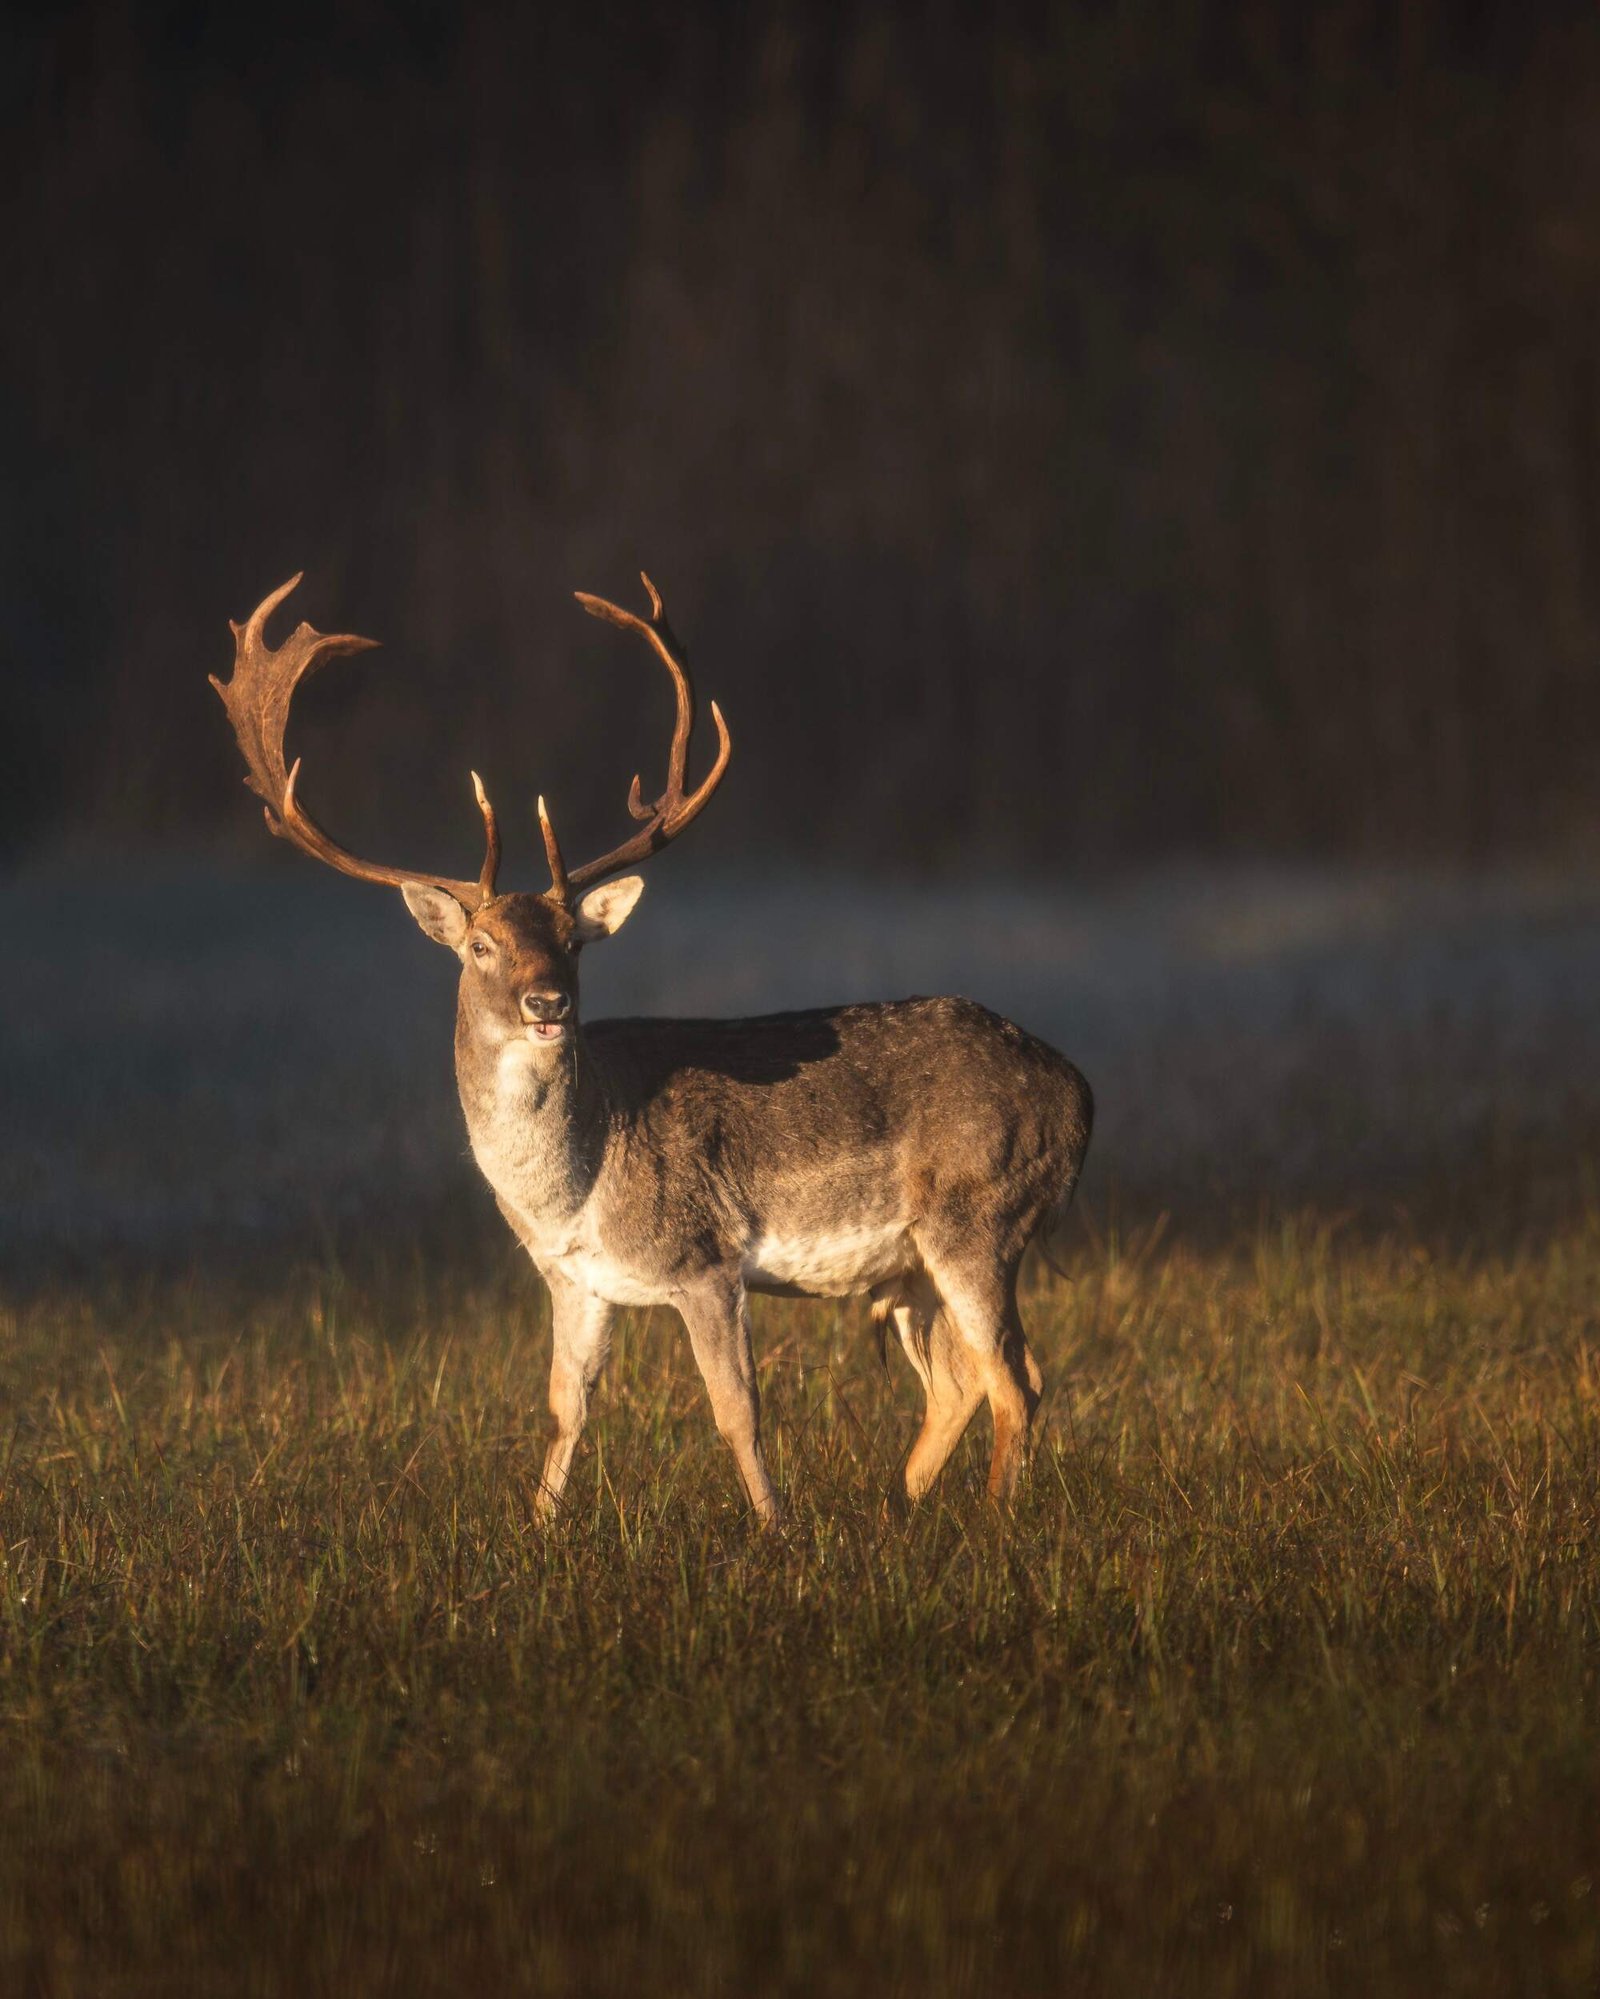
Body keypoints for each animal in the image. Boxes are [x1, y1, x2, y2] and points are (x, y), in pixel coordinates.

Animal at [213, 574, 1093, 1526]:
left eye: (573, 939)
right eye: (480, 945)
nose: (548, 1002)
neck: (575, 1189)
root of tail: (1081, 1093)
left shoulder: (703, 1256)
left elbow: (737, 1410)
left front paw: (778, 1531)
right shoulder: (576, 1282)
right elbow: (565, 1406)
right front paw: (539, 1529)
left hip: (979, 1214)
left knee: (1017, 1379)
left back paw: (993, 1522)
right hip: (911, 1264)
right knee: (963, 1381)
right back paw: (907, 1508)